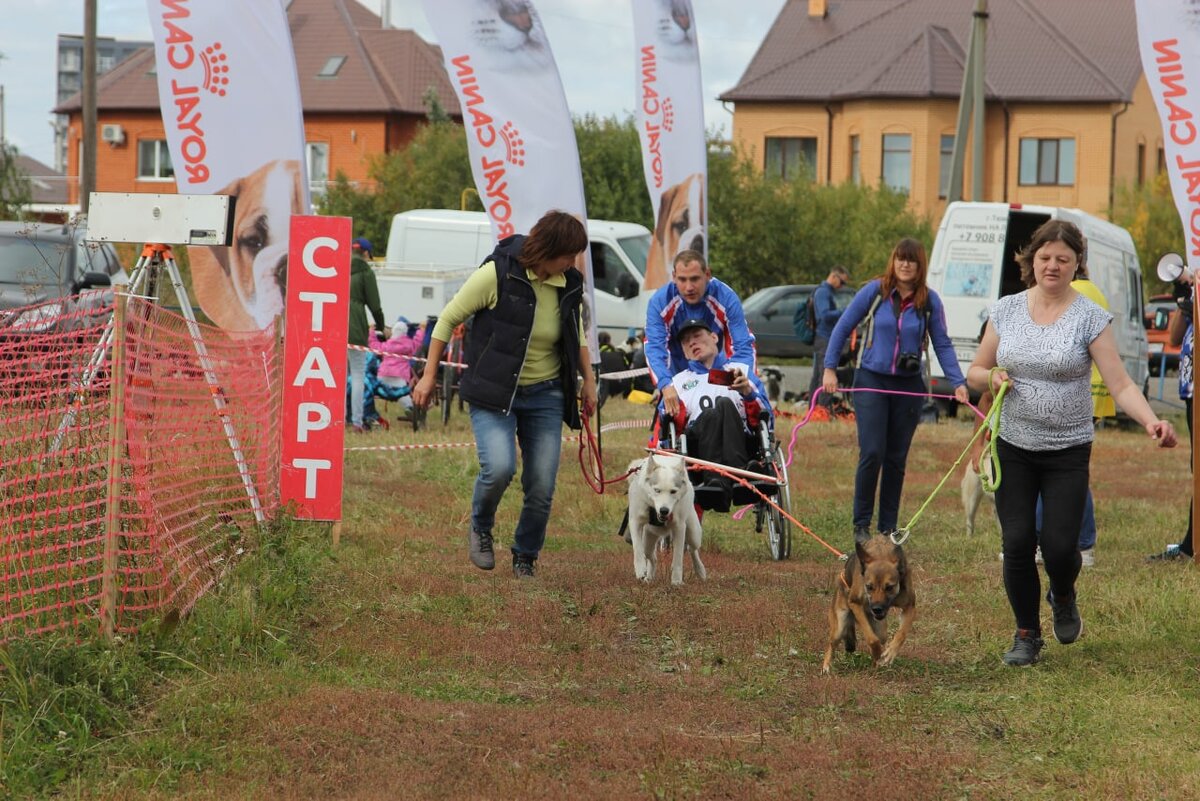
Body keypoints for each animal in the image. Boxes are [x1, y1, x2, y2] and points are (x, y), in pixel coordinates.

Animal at [624, 453, 705, 585]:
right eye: (657, 490)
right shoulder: (635, 521)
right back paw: (649, 578)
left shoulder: (679, 527)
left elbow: (678, 558)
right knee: (652, 557)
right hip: (648, 541)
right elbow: (637, 549)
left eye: (673, 491)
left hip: (694, 535)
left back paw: (700, 571)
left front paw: (676, 582)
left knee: (692, 550)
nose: (664, 510)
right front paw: (640, 570)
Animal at [820, 534, 912, 671]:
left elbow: (901, 633)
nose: (877, 609)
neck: (881, 554)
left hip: (881, 630)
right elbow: (872, 639)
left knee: (881, 637)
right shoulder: (855, 603)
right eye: (869, 587)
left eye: (889, 587)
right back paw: (826, 666)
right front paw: (878, 653)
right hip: (840, 626)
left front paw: (890, 652)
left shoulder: (910, 606)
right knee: (832, 643)